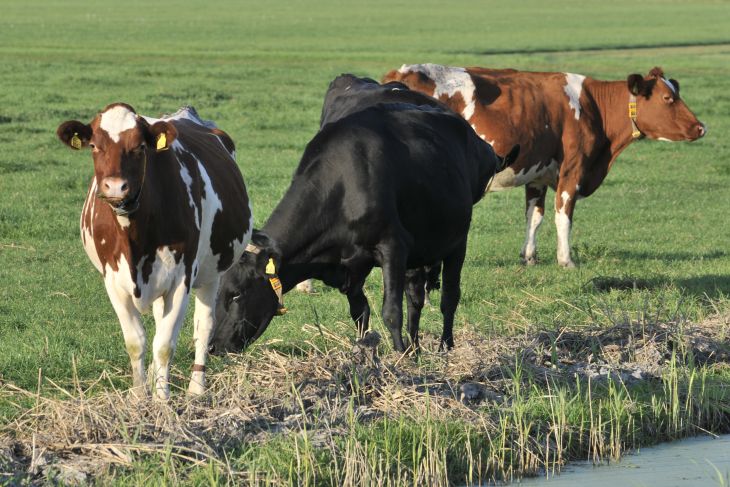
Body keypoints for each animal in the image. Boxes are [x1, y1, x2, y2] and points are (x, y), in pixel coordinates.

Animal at [56, 104, 253, 400]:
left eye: (139, 147)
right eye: (94, 145)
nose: (116, 187)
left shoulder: (182, 279)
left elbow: (165, 344)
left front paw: (162, 401)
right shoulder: (113, 281)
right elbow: (136, 342)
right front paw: (139, 398)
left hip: (212, 272)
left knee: (203, 325)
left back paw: (196, 388)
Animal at [208, 77, 506, 358]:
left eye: (236, 293)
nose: (212, 346)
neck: (345, 184)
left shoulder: (393, 246)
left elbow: (391, 311)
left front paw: (400, 357)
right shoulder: (348, 267)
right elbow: (360, 311)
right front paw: (364, 353)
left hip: (457, 240)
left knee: (449, 297)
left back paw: (445, 347)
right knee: (415, 298)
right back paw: (416, 348)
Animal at [384, 63, 704, 268]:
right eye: (668, 98)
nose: (701, 127)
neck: (594, 107)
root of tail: (400, 73)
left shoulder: (537, 175)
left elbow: (534, 217)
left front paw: (529, 257)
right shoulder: (573, 169)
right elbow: (563, 216)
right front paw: (566, 260)